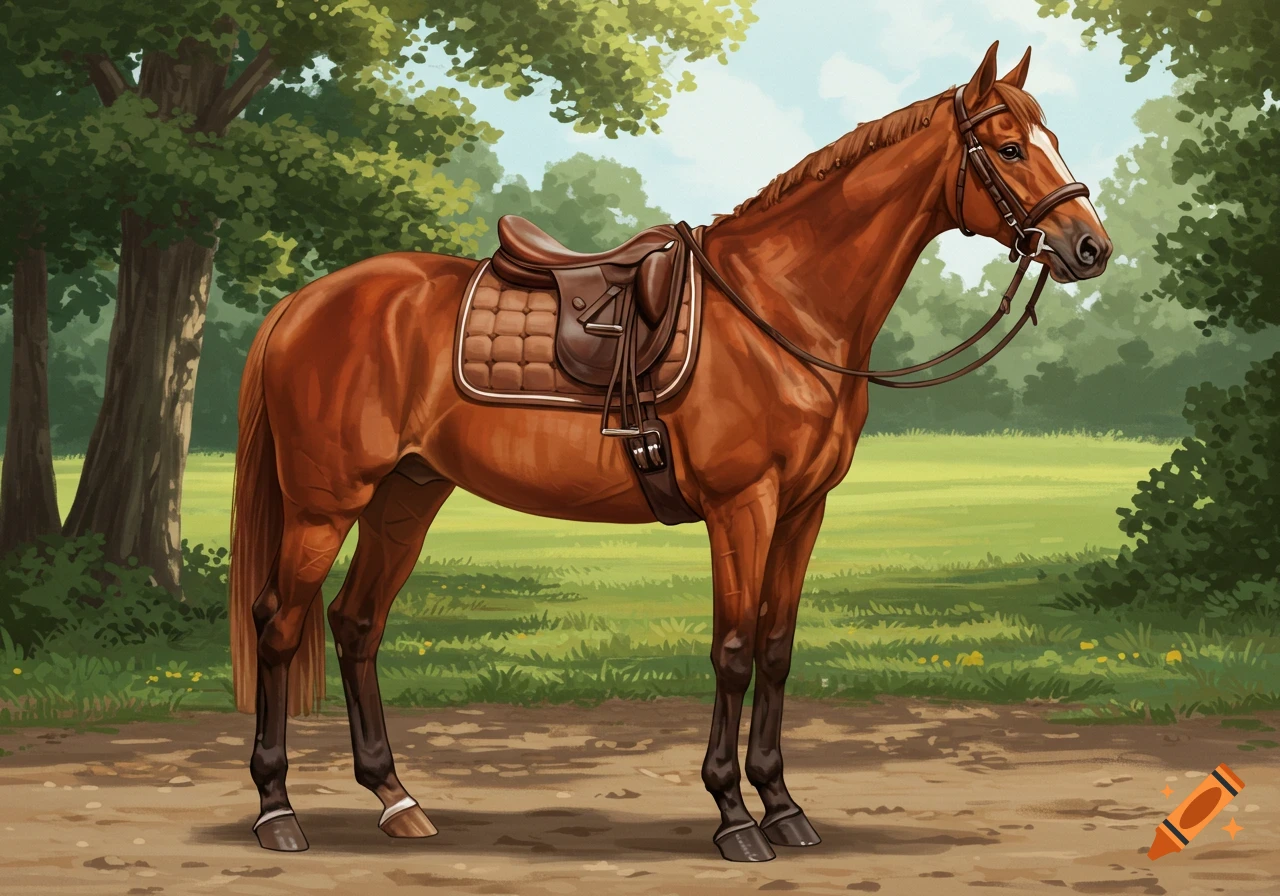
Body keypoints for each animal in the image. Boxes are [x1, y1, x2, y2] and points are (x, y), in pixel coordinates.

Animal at [228, 41, 1112, 862]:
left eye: (1051, 139)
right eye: (1009, 148)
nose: (1090, 248)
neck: (780, 308)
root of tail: (305, 302)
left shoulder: (803, 511)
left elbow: (778, 650)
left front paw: (783, 806)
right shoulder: (742, 506)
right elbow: (734, 651)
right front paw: (734, 817)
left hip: (406, 496)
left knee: (355, 623)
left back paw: (396, 799)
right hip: (325, 503)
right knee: (280, 623)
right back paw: (278, 811)